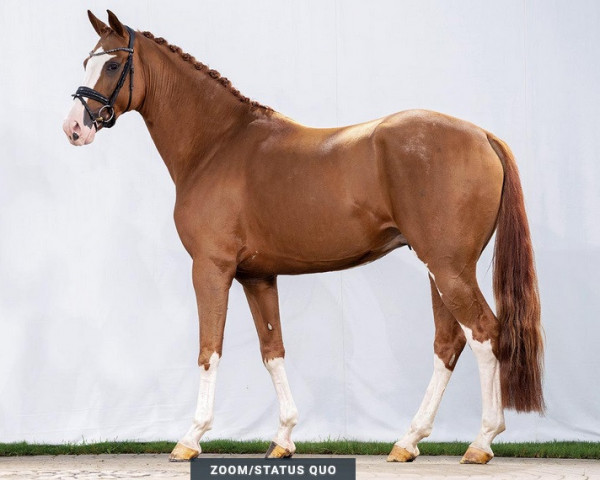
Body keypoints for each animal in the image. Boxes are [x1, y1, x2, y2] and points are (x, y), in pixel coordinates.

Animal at [62, 11, 544, 464]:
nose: (73, 128)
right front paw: (283, 439)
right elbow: (272, 350)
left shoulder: (211, 268)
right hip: (441, 270)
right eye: (87, 61)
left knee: (484, 333)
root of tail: (483, 136)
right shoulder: (257, 277)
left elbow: (209, 349)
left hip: (448, 269)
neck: (217, 145)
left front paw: (190, 438)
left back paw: (481, 441)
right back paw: (408, 441)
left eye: (112, 64)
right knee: (450, 343)